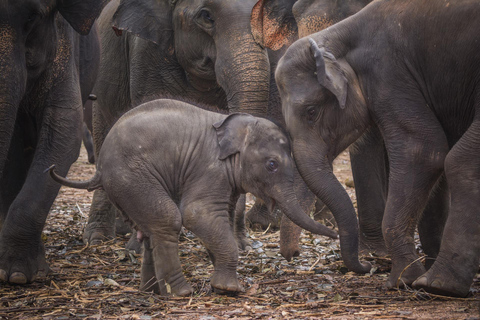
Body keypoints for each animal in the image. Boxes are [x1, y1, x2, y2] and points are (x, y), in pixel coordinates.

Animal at [47, 99, 336, 296]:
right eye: (272, 165)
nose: (334, 234)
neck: (235, 125)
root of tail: (99, 169)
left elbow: (221, 219)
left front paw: (221, 283)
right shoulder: (210, 170)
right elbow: (197, 214)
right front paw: (229, 289)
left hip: (124, 186)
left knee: (151, 229)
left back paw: (153, 291)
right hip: (131, 177)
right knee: (168, 219)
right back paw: (181, 293)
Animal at [276, 0, 480, 298]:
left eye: (311, 112)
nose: (368, 266)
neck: (338, 36)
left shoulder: (389, 74)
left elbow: (423, 151)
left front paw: (402, 281)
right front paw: (414, 273)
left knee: (461, 160)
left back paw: (440, 285)